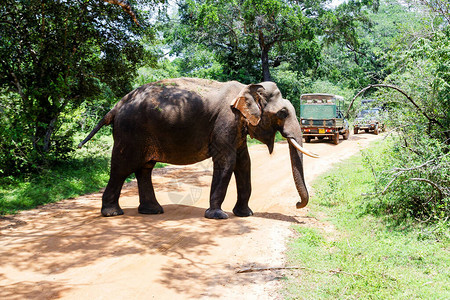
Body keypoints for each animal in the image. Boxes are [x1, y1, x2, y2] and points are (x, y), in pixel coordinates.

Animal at [78, 77, 316, 218]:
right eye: (283, 113)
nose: (297, 204)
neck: (246, 89)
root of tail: (115, 106)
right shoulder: (226, 121)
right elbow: (227, 161)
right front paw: (218, 215)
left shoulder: (237, 127)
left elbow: (244, 163)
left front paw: (245, 214)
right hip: (129, 132)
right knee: (122, 167)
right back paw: (113, 213)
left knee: (144, 168)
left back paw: (151, 211)